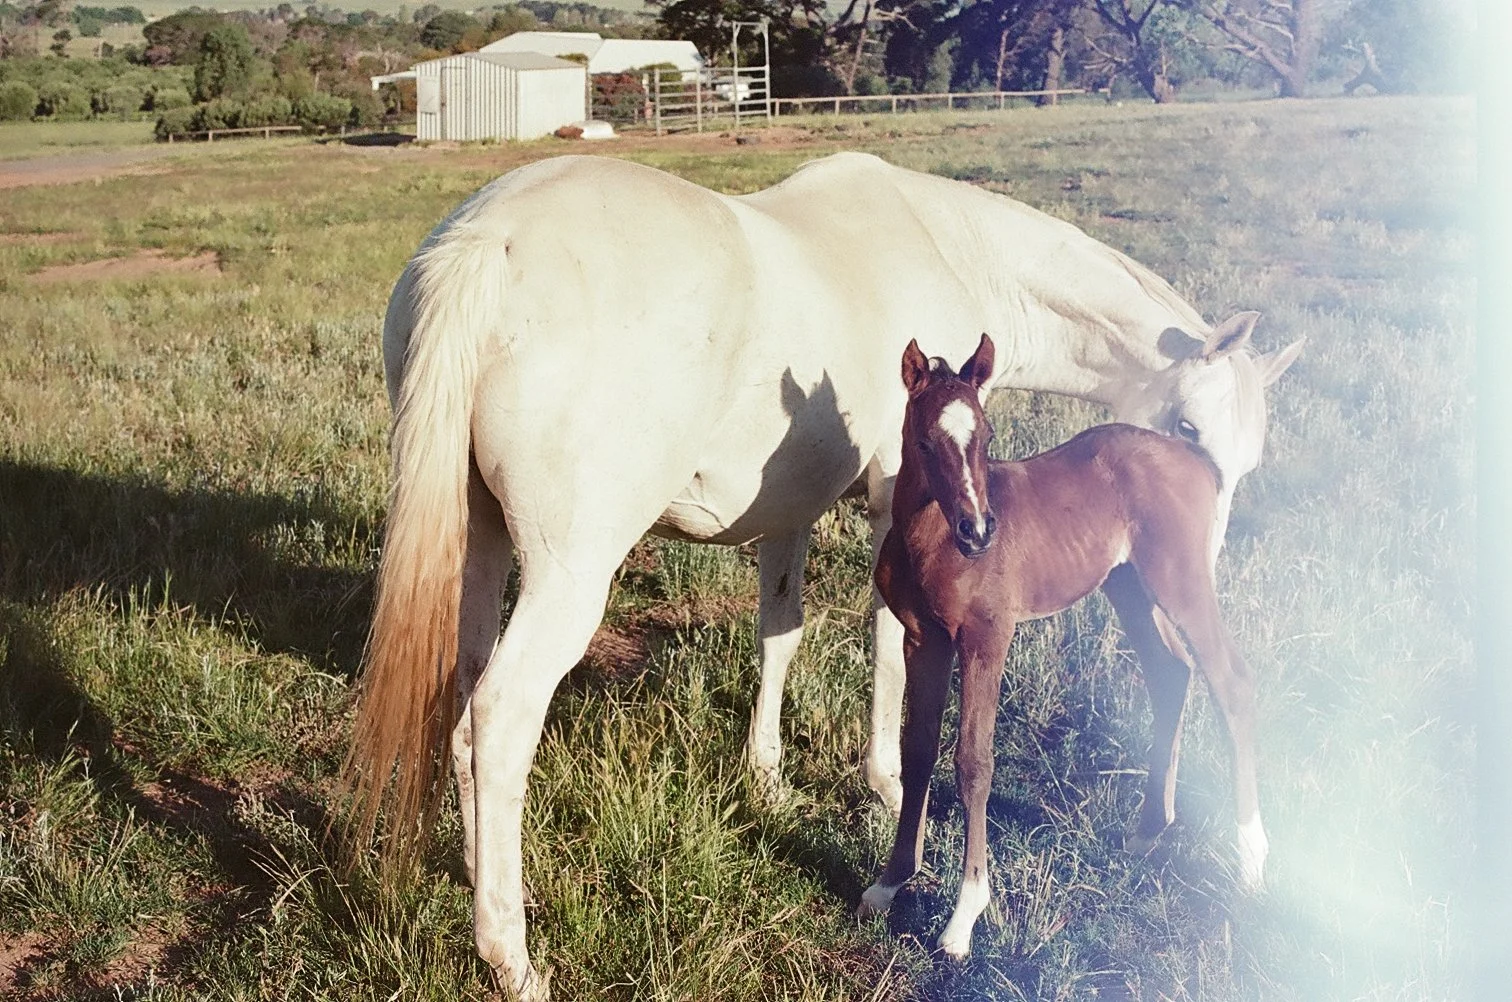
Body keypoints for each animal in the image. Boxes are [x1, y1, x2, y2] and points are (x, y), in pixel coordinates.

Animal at [858, 335, 1266, 960]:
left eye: (988, 437)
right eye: (924, 441)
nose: (979, 532)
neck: (932, 542)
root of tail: (1193, 457)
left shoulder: (987, 637)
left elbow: (973, 762)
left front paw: (963, 919)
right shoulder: (924, 639)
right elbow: (918, 749)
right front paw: (888, 883)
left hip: (1181, 581)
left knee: (1233, 685)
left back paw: (1250, 860)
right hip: (1129, 586)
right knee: (1171, 672)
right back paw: (1149, 830)